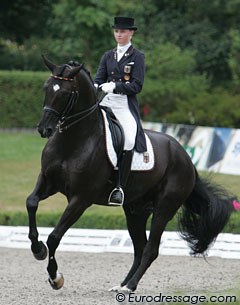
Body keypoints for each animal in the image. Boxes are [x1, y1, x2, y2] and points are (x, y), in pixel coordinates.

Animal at [26, 55, 234, 290]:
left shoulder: (80, 199)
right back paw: (121, 285)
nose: (44, 129)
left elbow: (54, 237)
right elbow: (31, 202)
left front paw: (55, 277)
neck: (72, 141)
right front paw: (37, 249)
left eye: (65, 93)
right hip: (136, 210)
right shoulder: (47, 181)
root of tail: (186, 159)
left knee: (151, 249)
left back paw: (130, 287)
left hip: (164, 208)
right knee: (140, 248)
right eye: (46, 88)